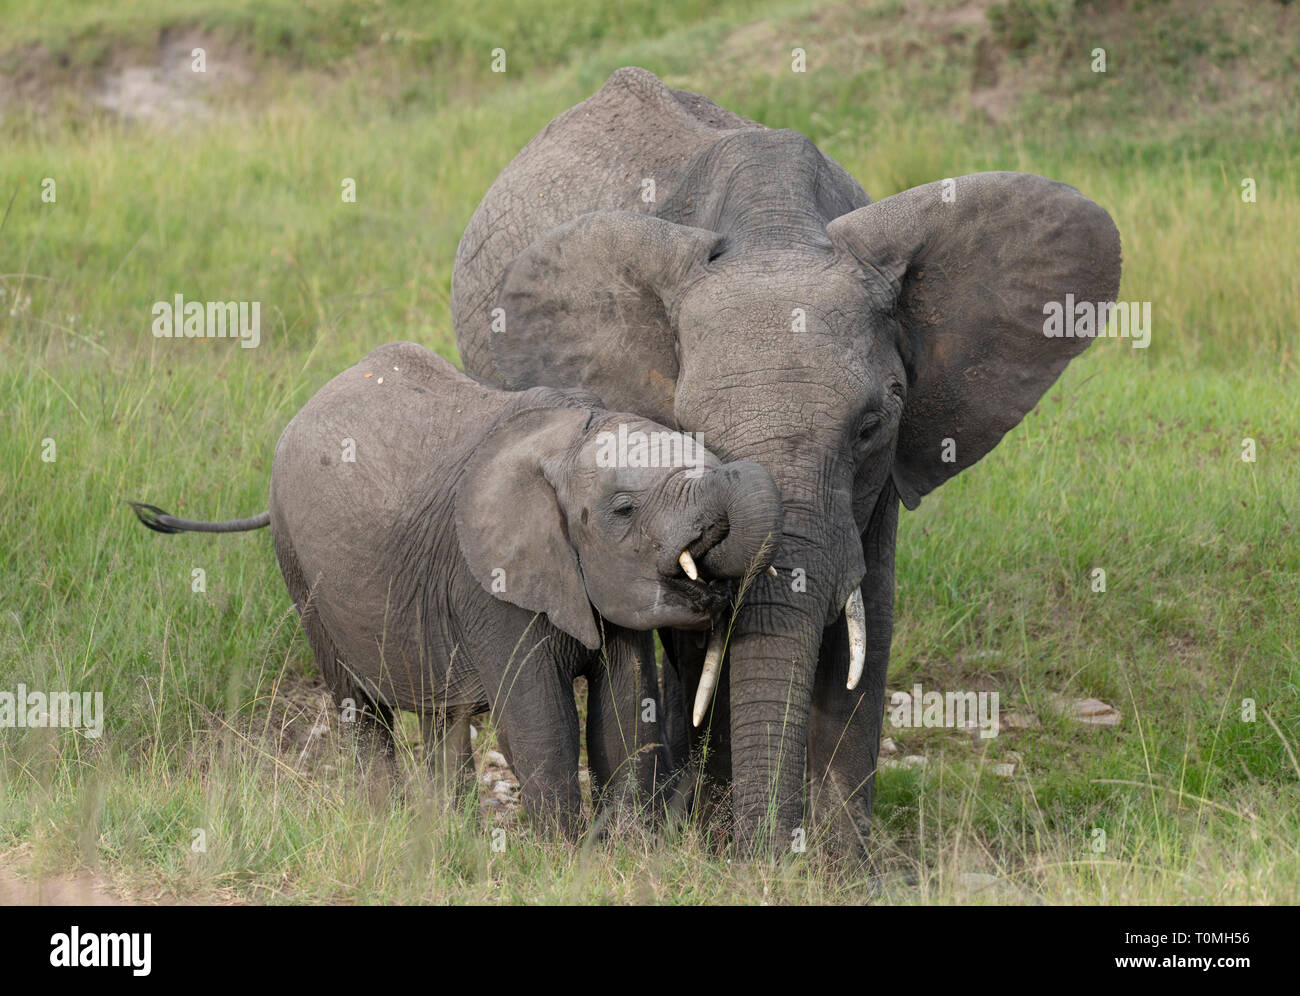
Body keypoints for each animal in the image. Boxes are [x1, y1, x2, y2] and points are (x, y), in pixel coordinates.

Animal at [130, 341, 782, 836]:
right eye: (624, 509)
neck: (566, 442)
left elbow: (624, 713)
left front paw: (624, 850)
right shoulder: (488, 583)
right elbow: (540, 722)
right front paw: (569, 856)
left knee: (442, 718)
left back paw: (448, 833)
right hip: (298, 564)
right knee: (359, 706)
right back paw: (387, 823)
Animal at [450, 67, 1122, 856]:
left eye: (872, 425)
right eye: (691, 430)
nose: (772, 850)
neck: (775, 229)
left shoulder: (886, 473)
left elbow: (870, 622)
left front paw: (840, 867)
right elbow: (701, 631)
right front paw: (722, 844)